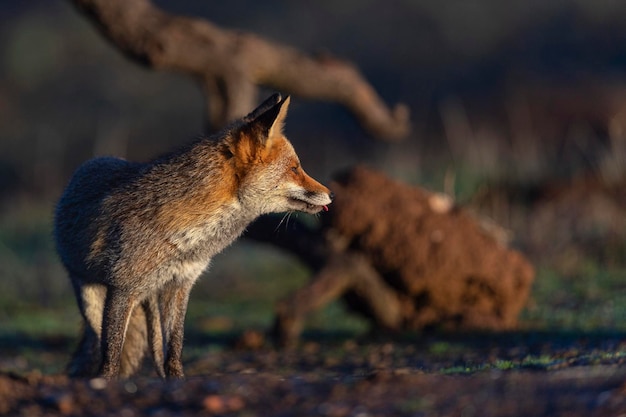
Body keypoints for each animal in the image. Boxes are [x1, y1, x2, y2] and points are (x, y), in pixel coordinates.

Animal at [53, 95, 332, 376]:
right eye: (295, 168)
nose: (331, 194)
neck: (188, 242)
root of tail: (87, 165)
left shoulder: (180, 285)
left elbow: (173, 354)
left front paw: (177, 381)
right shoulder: (122, 288)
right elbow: (111, 358)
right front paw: (106, 381)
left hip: (152, 300)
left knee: (156, 355)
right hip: (90, 298)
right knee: (98, 342)